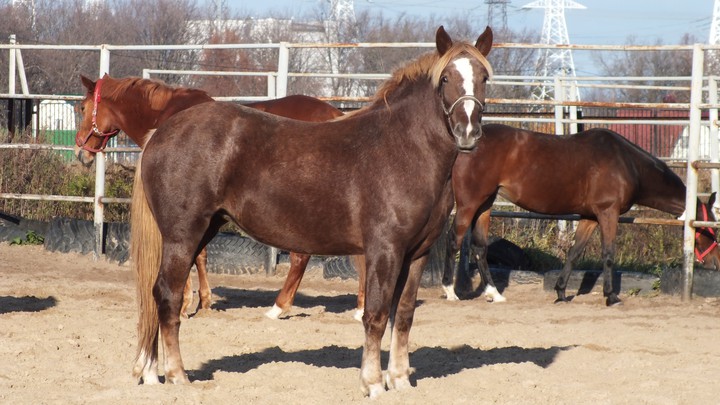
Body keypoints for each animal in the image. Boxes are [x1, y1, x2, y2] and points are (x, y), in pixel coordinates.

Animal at [74, 74, 365, 319]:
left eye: (82, 108)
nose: (80, 152)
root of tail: (337, 114)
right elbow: (200, 255)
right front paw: (203, 301)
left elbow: (193, 255)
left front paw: (187, 304)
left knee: (302, 258)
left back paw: (282, 307)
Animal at [129, 26, 493, 397]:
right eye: (445, 78)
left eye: (484, 78)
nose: (468, 133)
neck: (403, 149)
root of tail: (160, 134)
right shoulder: (385, 250)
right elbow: (376, 316)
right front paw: (373, 383)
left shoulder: (417, 253)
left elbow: (403, 315)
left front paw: (401, 381)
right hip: (183, 236)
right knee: (168, 295)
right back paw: (176, 375)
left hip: (201, 231)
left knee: (156, 295)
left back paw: (151, 373)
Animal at [443, 123, 720, 306]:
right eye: (710, 227)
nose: (715, 262)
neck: (627, 164)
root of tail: (464, 144)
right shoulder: (608, 213)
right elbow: (608, 254)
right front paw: (611, 296)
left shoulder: (590, 217)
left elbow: (575, 253)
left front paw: (561, 292)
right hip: (469, 204)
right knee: (453, 240)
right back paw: (450, 291)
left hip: (485, 204)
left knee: (479, 247)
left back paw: (494, 294)